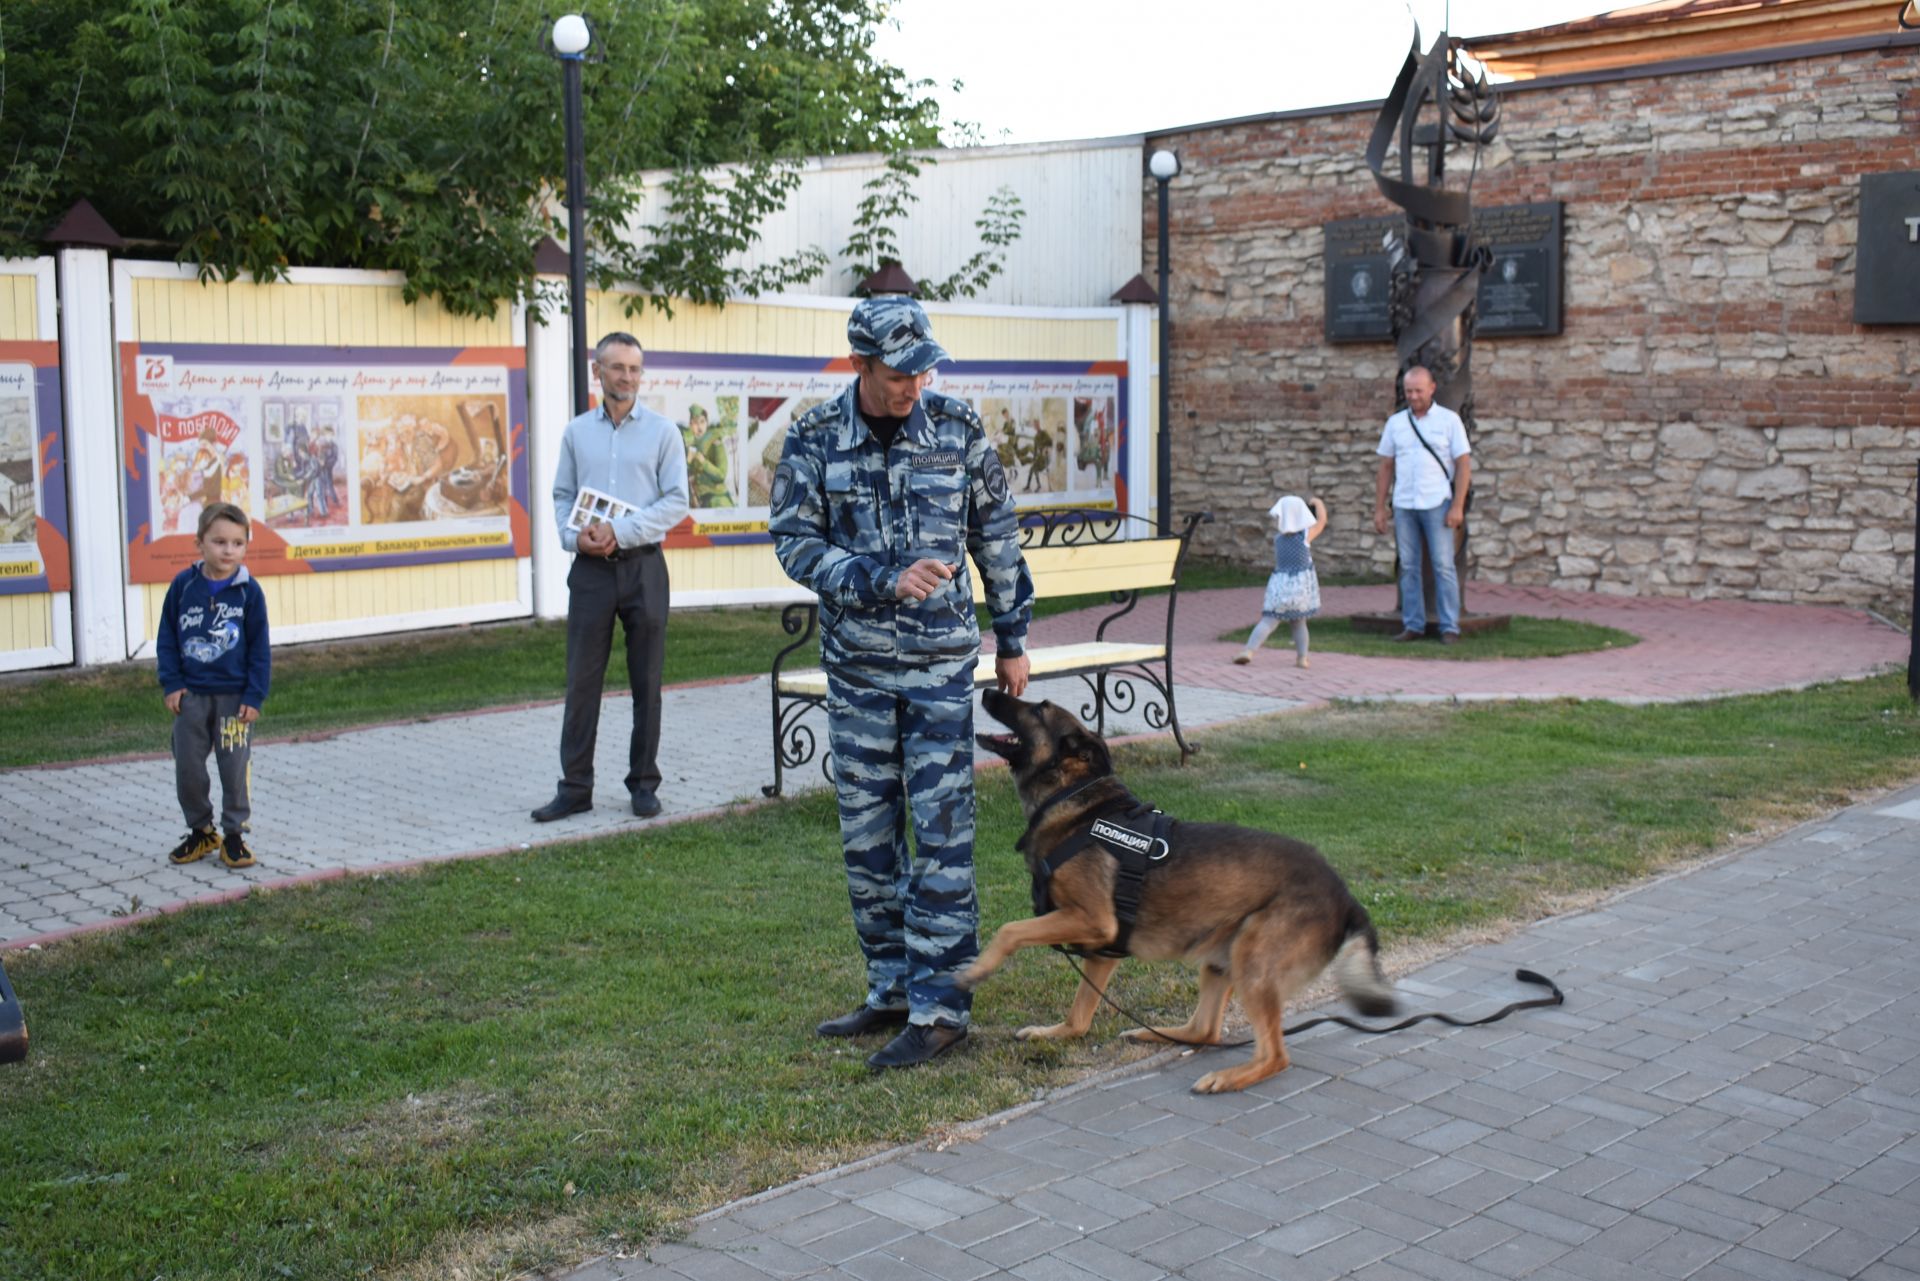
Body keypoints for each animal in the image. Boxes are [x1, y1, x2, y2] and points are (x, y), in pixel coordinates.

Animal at [960, 687, 1397, 1098]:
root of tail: (1345, 897)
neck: (1073, 803)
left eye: (1039, 708)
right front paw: (1051, 1033)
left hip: (1253, 959)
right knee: (1206, 1031)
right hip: (1223, 958)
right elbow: (1079, 1016)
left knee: (1274, 1055)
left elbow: (1011, 930)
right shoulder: (1103, 948)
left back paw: (1227, 1077)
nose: (988, 691)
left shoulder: (1092, 921)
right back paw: (1152, 1033)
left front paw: (977, 970)